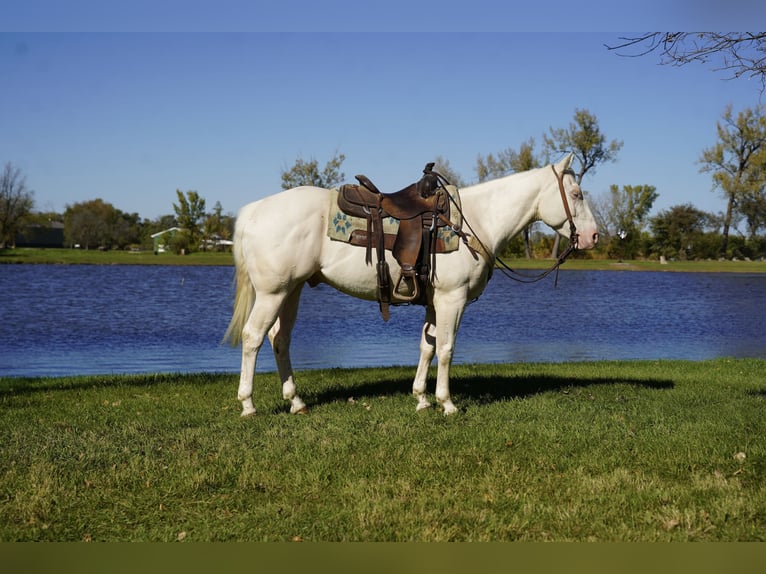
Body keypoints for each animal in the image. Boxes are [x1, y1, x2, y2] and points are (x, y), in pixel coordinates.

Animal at [224, 153, 598, 416]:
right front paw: (447, 403)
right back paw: (248, 405)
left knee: (279, 340)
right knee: (253, 337)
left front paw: (421, 398)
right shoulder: (452, 299)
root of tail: (253, 211)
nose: (593, 236)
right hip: (273, 293)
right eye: (576, 193)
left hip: (292, 290)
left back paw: (296, 402)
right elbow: (446, 348)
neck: (476, 221)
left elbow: (427, 347)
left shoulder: (434, 302)